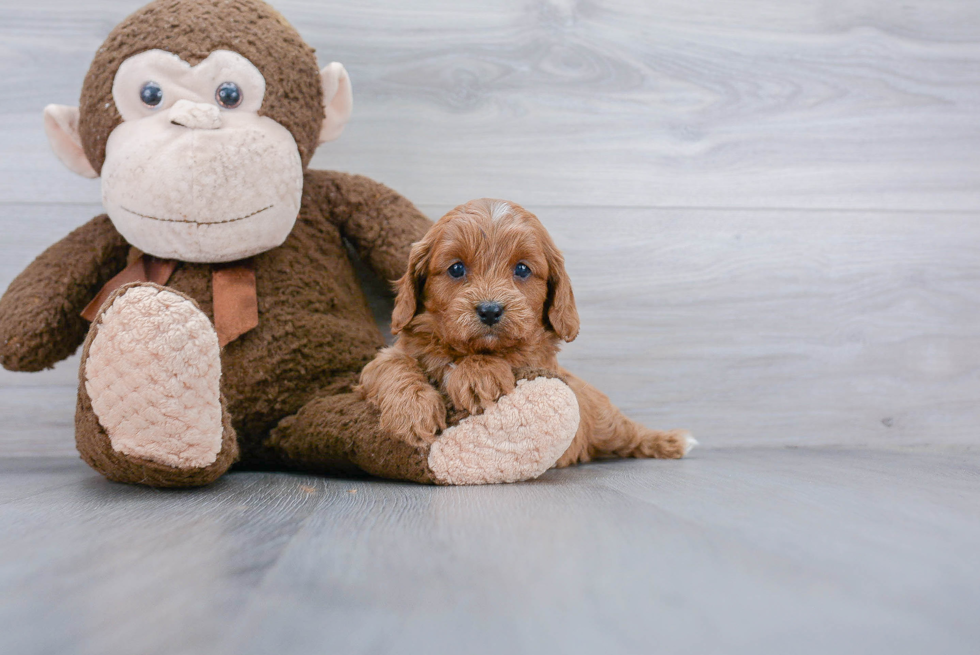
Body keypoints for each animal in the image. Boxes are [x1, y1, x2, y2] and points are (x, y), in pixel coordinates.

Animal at [356, 199, 692, 466]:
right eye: (456, 269)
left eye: (522, 269)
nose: (490, 310)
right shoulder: (388, 357)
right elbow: (390, 365)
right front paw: (413, 413)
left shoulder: (536, 362)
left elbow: (509, 356)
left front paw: (477, 375)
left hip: (606, 421)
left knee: (630, 432)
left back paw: (672, 441)